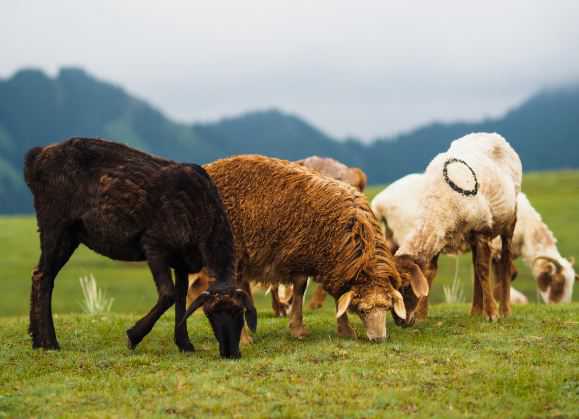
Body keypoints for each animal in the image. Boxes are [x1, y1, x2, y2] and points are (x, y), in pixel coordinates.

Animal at [24, 139, 256, 360]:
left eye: (240, 312)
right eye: (210, 314)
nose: (231, 353)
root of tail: (36, 157)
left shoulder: (181, 259)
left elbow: (181, 298)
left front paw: (184, 344)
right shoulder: (154, 245)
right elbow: (168, 295)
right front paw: (133, 336)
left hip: (71, 234)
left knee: (39, 275)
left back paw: (36, 339)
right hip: (54, 224)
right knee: (43, 277)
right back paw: (50, 342)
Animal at [374, 133, 524, 324]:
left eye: (407, 287)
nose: (401, 322)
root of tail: (493, 135)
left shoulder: (481, 229)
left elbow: (484, 270)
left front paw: (492, 313)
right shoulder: (439, 234)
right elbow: (431, 271)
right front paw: (422, 314)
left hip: (509, 219)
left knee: (504, 259)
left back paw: (505, 310)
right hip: (471, 235)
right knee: (475, 265)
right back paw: (475, 310)